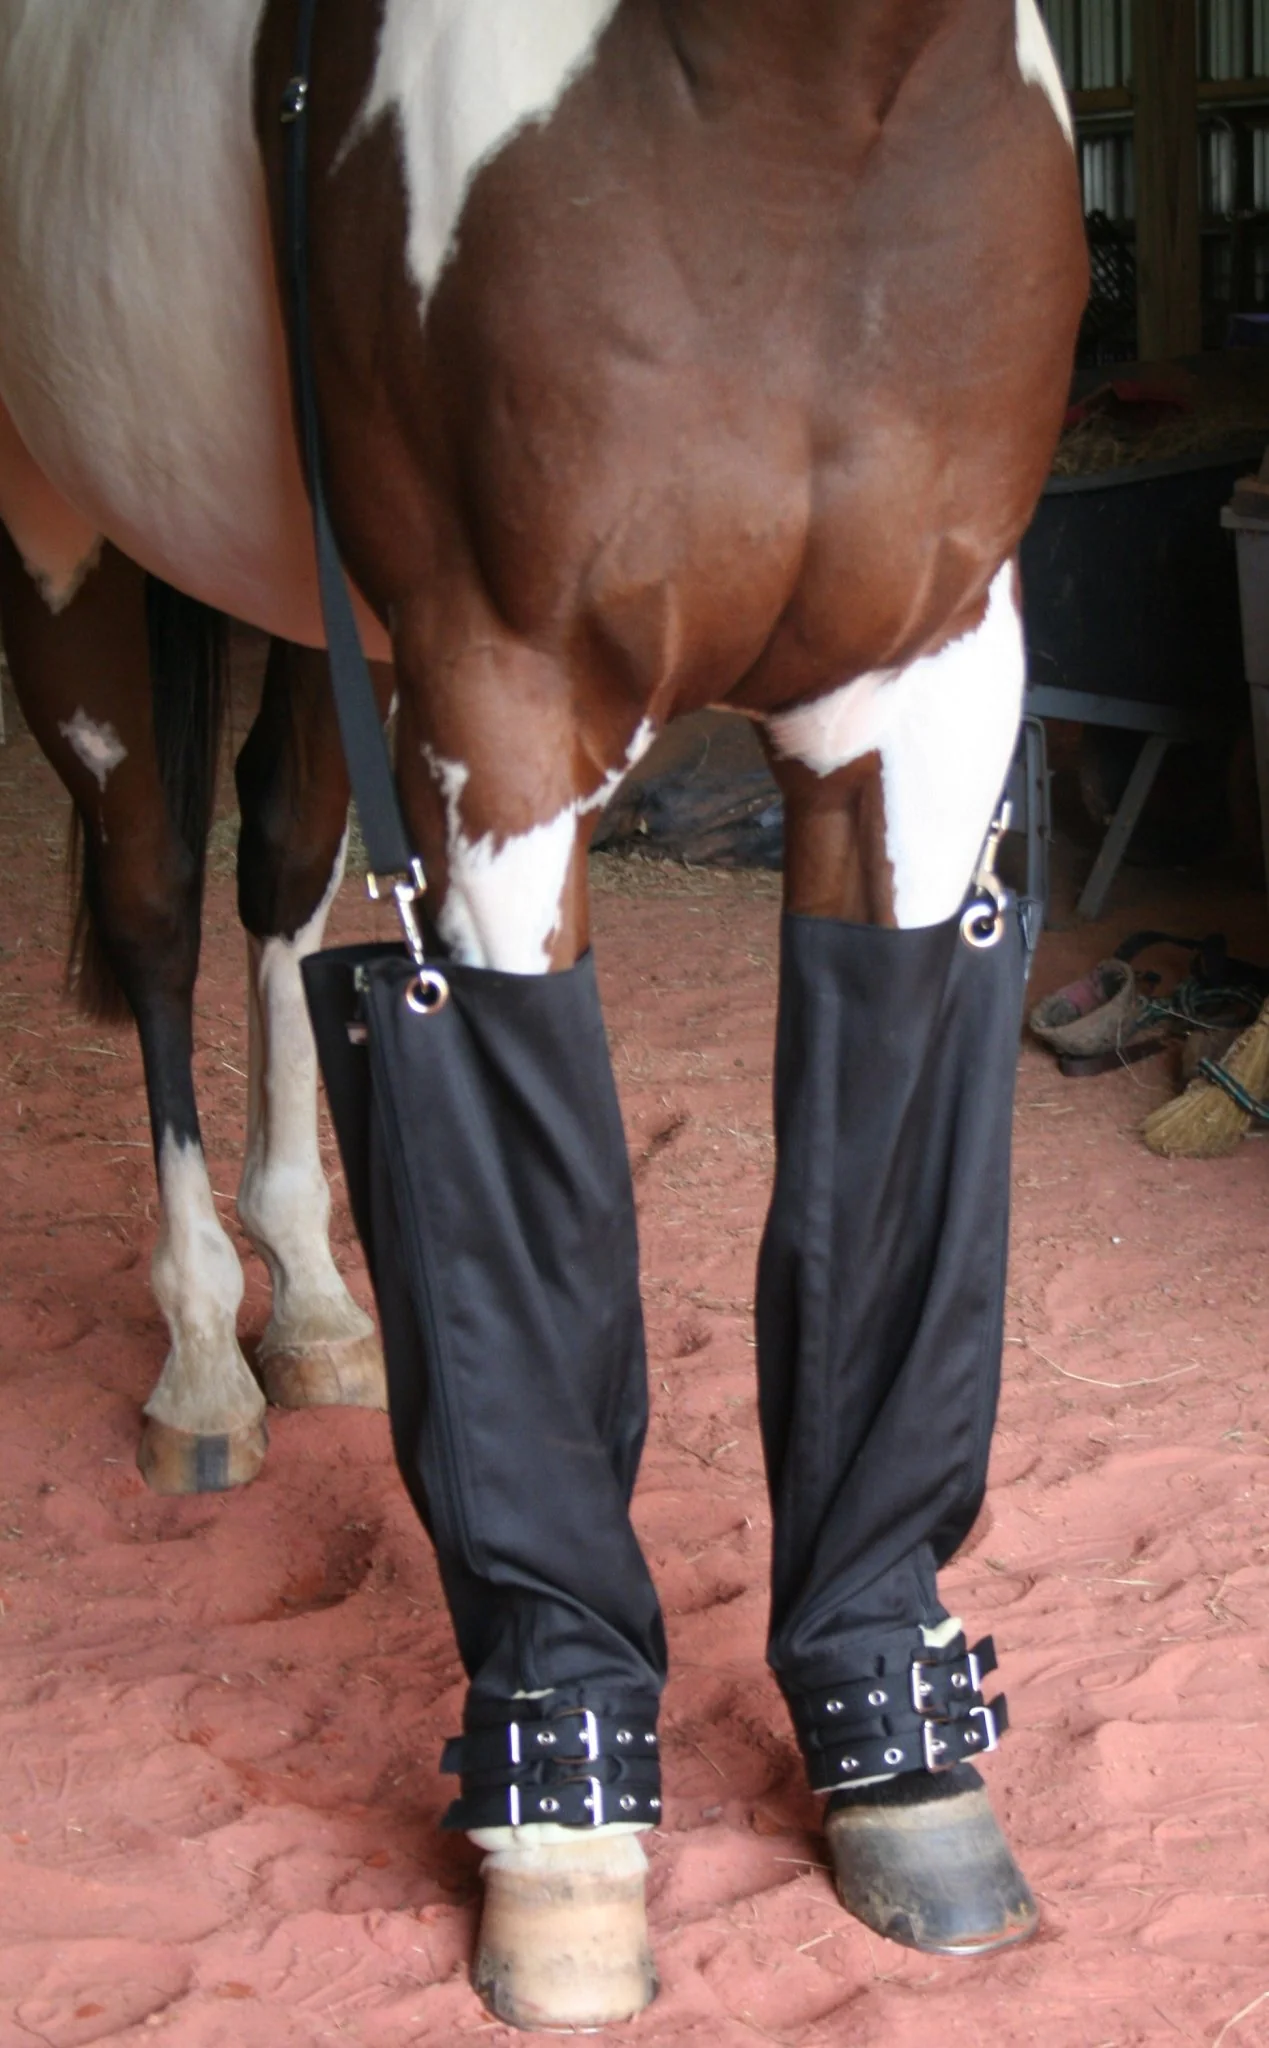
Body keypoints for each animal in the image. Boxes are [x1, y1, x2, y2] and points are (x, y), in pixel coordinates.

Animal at [0, 0, 1087, 2029]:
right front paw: (564, 1829)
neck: (803, 116)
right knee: (159, 901)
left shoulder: (925, 679)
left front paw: (901, 1761)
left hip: (291, 600)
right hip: (65, 549)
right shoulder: (504, 705)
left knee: (282, 874)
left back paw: (315, 1305)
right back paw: (203, 1364)